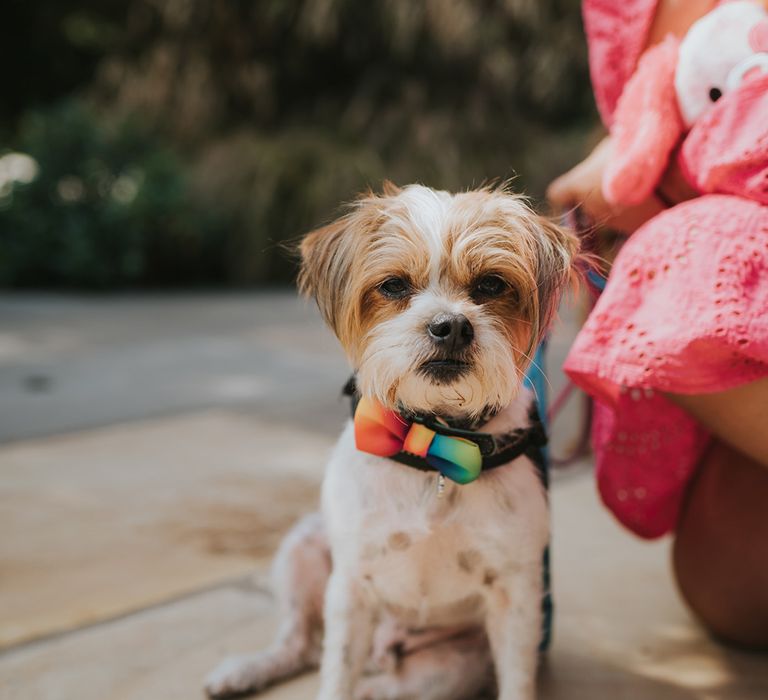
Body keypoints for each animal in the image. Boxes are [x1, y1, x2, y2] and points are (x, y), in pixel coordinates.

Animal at [204, 185, 576, 700]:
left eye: (491, 285)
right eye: (395, 286)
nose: (451, 326)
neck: (435, 443)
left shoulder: (515, 597)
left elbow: (516, 683)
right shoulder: (351, 588)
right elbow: (336, 675)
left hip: (444, 671)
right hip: (303, 546)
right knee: (300, 644)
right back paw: (245, 670)